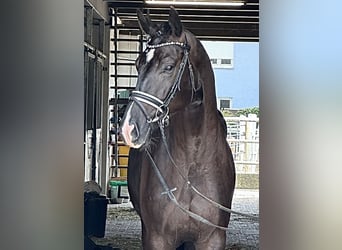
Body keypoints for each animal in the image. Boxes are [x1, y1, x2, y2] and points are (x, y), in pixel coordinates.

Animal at [120, 8, 235, 250]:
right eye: (137, 64)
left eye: (169, 66)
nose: (128, 127)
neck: (192, 165)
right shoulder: (156, 238)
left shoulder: (212, 239)